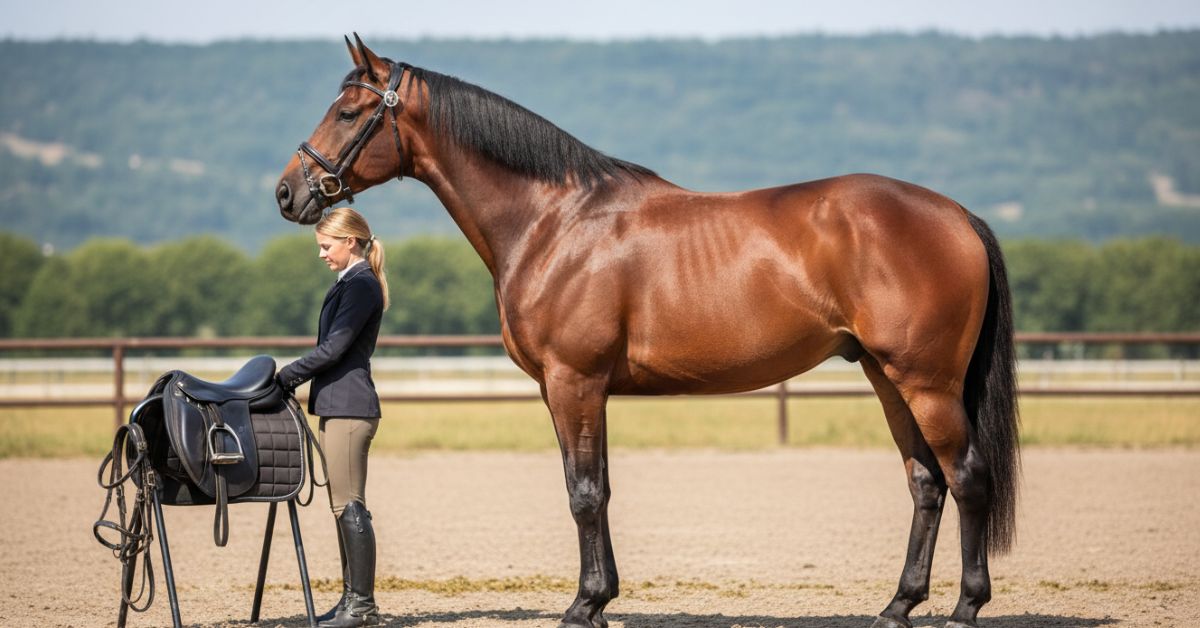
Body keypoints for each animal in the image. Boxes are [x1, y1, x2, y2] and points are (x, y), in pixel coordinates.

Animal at [275, 35, 1020, 628]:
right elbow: (595, 487)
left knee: (967, 477)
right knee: (925, 483)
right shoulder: (573, 390)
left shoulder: (574, 382)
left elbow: (582, 493)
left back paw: (964, 608)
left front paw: (583, 606)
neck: (555, 221)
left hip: (926, 383)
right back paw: (897, 606)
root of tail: (956, 214)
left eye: (349, 112)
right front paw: (601, 600)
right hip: (886, 377)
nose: (289, 192)